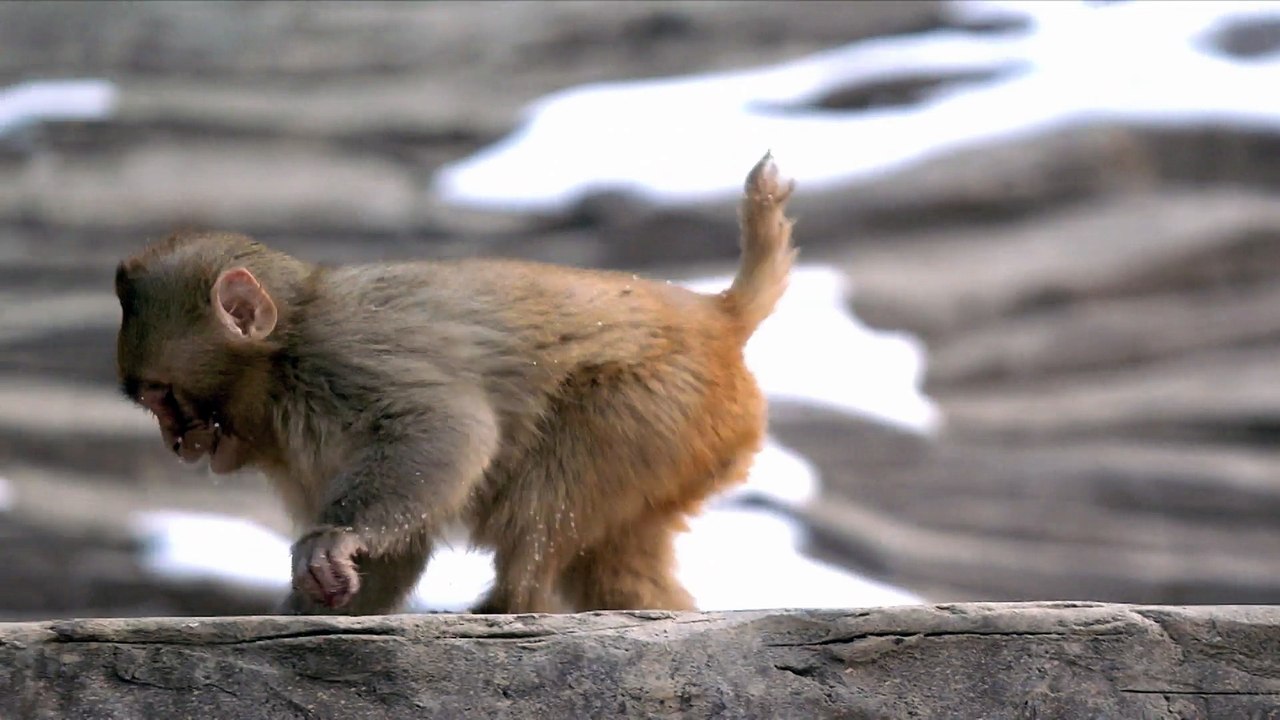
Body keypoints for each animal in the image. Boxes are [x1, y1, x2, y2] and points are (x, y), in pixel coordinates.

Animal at [113, 152, 796, 616]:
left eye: (161, 397)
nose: (175, 441)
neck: (282, 363)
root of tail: (718, 315)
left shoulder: (344, 355)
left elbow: (450, 429)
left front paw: (337, 539)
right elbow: (394, 554)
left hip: (659, 403)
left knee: (553, 483)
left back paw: (515, 604)